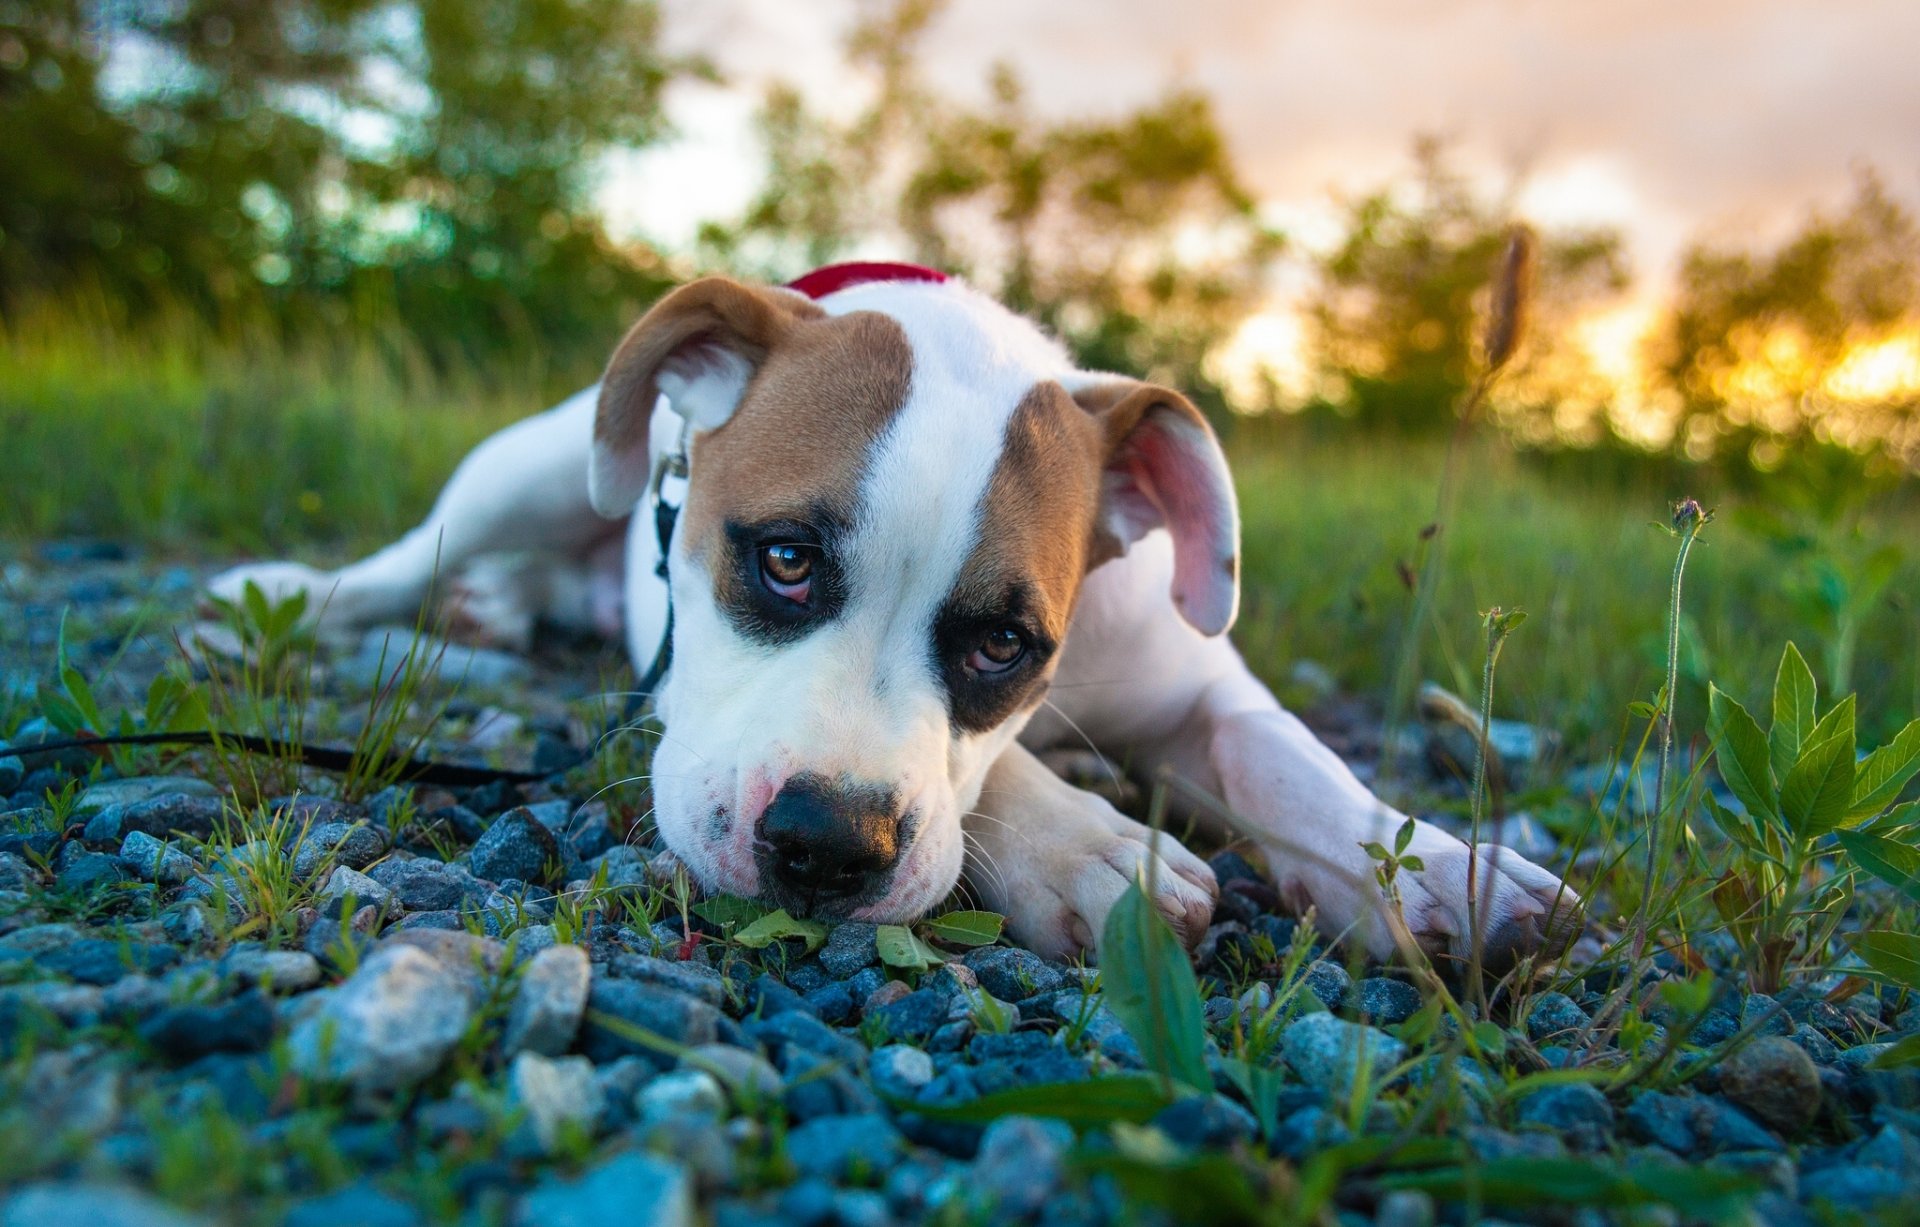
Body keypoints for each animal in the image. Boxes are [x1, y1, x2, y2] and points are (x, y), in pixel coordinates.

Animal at [217, 264, 1582, 963]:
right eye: (782, 561)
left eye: (1004, 644)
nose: (828, 849)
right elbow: (1001, 773)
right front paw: (1095, 847)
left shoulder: (1194, 681)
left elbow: (1283, 753)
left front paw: (1439, 867)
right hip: (540, 462)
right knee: (422, 548)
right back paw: (280, 600)